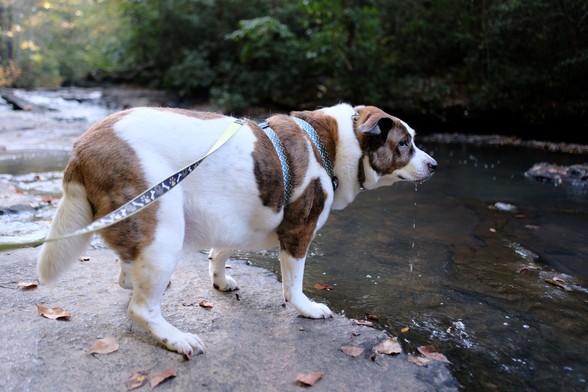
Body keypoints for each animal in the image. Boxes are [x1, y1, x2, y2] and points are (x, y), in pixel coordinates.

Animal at [36, 102, 436, 356]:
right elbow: (294, 283)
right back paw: (175, 338)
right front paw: (306, 308)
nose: (434, 164)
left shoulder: (234, 218)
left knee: (125, 276)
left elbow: (221, 251)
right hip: (163, 229)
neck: (334, 143)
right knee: (141, 309)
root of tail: (81, 148)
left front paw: (220, 281)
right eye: (404, 144)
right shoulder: (298, 233)